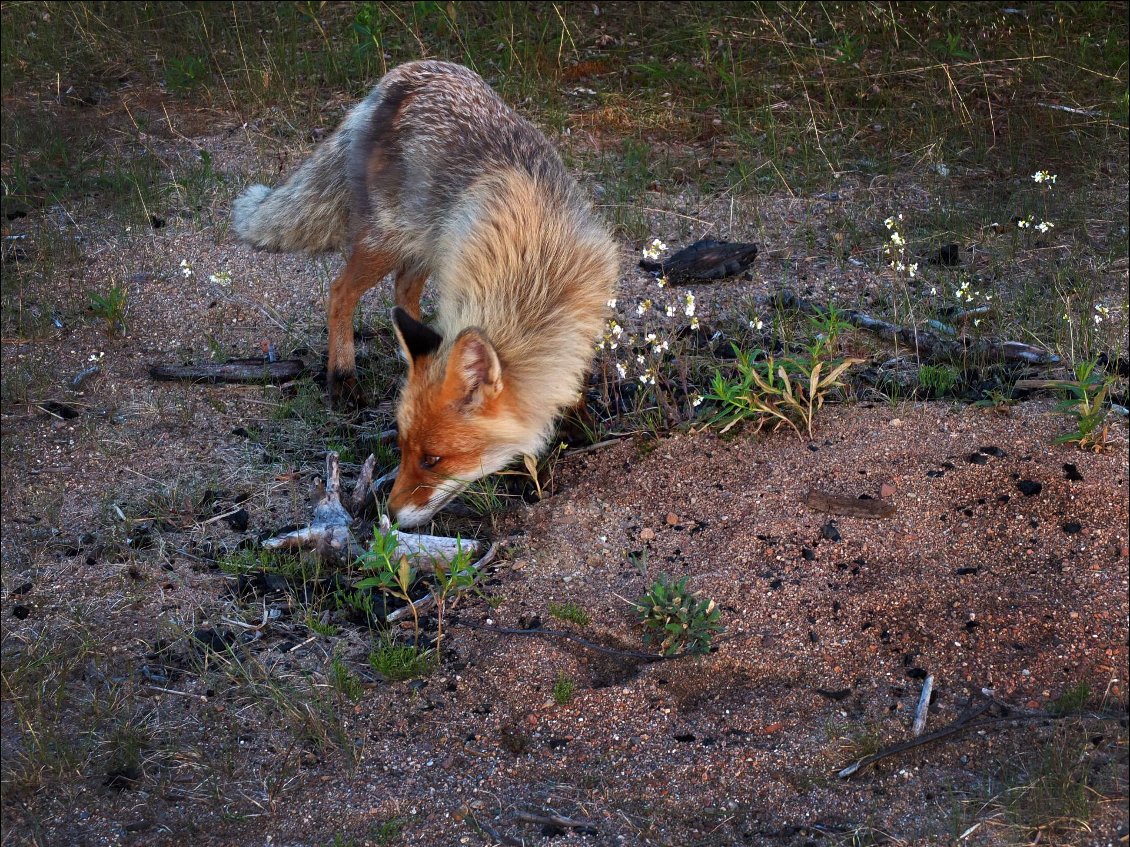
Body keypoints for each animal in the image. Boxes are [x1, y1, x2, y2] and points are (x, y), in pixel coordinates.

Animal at [229, 62, 619, 530]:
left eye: (433, 459)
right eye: (401, 447)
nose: (391, 515)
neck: (534, 274)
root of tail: (398, 77)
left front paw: (577, 413)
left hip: (424, 245)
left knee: (402, 290)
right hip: (389, 240)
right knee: (340, 292)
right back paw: (342, 375)